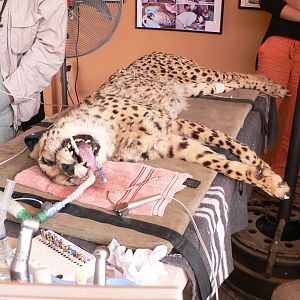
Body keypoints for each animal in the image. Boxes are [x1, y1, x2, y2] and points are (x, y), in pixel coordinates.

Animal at [31, 52, 290, 200]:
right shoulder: (169, 143)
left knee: (236, 75)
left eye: (48, 159)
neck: (110, 134)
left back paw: (275, 87)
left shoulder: (173, 123)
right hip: (196, 87)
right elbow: (216, 161)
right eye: (67, 182)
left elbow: (232, 144)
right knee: (230, 81)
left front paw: (260, 165)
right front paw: (265, 179)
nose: (68, 170)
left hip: (195, 74)